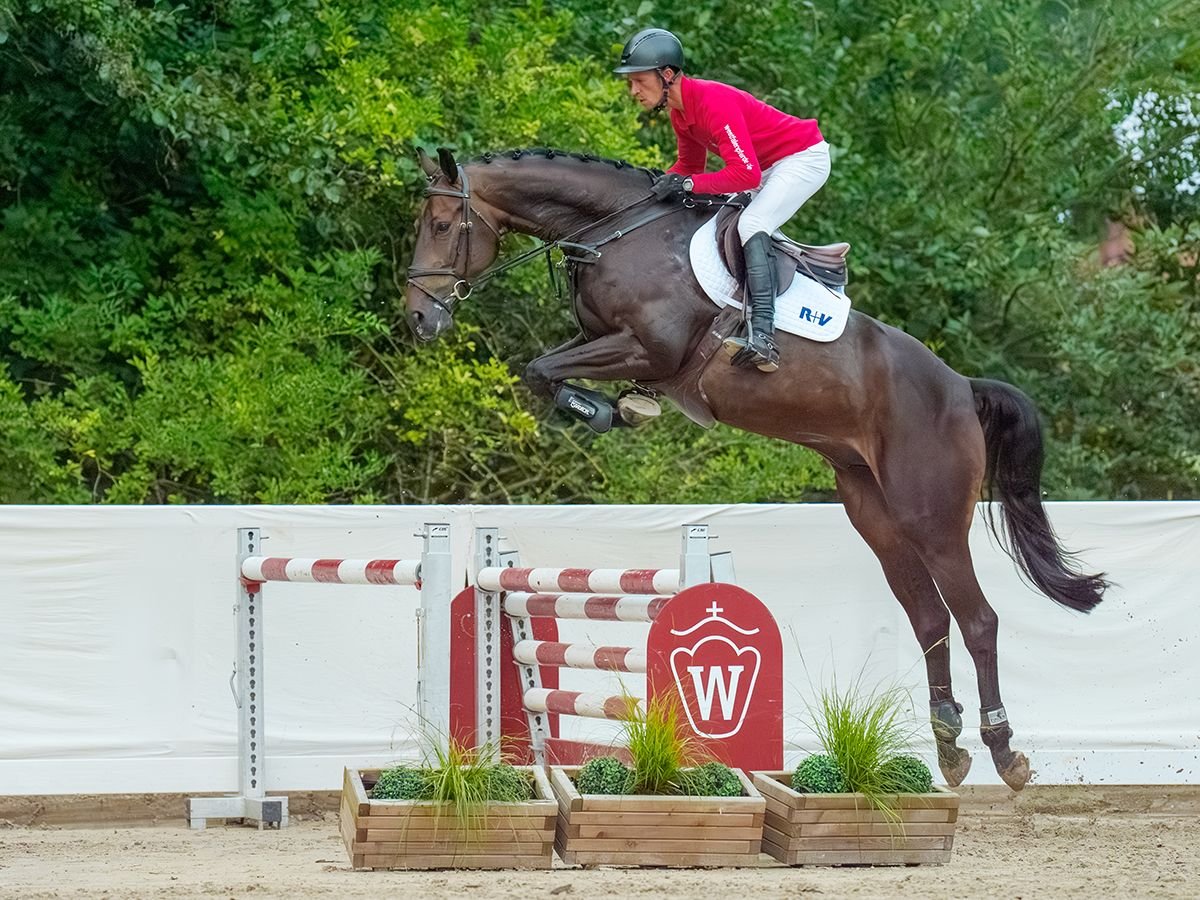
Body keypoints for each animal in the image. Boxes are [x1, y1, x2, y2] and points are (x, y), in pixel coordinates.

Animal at [403, 144, 1104, 792]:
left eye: (440, 224)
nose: (418, 318)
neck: (616, 234)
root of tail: (960, 387)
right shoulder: (603, 341)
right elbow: (543, 367)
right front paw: (618, 408)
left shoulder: (648, 347)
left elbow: (543, 369)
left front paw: (608, 411)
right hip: (876, 515)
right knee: (930, 618)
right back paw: (950, 745)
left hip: (930, 515)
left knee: (977, 619)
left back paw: (1004, 752)